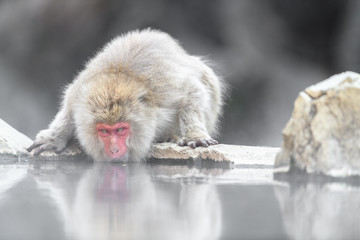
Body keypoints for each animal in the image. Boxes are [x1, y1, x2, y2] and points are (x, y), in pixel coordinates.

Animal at [27, 29, 225, 162]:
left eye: (121, 130)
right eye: (104, 131)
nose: (114, 150)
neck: (119, 80)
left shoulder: (165, 92)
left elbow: (193, 91)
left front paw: (194, 135)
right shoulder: (80, 94)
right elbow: (69, 107)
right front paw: (54, 138)